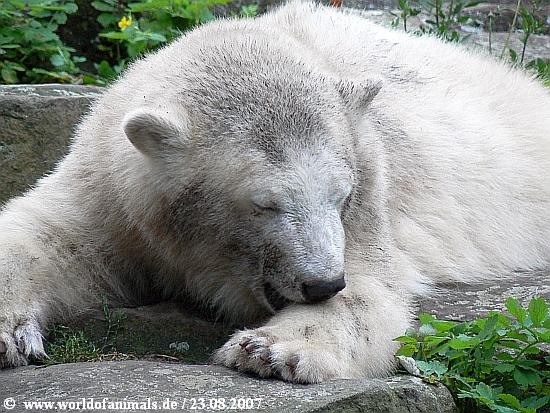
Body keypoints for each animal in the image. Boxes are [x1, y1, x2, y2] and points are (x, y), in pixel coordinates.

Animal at [1, 1, 549, 384]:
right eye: (264, 204)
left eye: (341, 196)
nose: (324, 283)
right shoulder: (111, 188)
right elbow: (49, 236)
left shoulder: (371, 190)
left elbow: (372, 287)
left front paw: (269, 350)